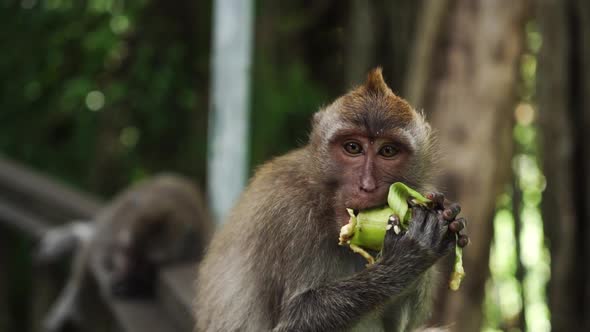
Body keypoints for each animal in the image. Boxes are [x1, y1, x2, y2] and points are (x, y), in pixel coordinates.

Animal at [37, 174, 213, 332]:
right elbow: (94, 255)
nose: (122, 274)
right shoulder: (112, 226)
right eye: (127, 252)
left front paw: (129, 286)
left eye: (147, 266)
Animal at [197, 68, 470, 332]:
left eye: (388, 151)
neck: (324, 204)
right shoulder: (289, 215)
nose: (366, 185)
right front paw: (408, 256)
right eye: (353, 148)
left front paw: (442, 215)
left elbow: (401, 325)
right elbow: (291, 324)